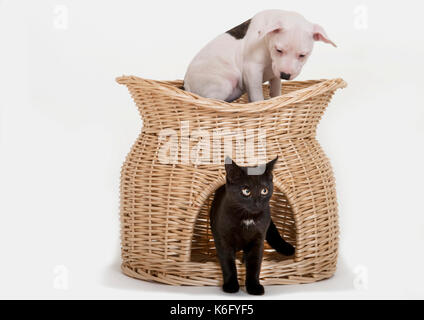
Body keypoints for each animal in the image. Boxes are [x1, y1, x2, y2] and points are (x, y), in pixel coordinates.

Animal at [184, 9, 336, 102]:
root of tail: (186, 84)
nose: (285, 75)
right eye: (278, 50)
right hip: (225, 82)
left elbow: (276, 89)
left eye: (302, 55)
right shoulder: (252, 70)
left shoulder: (275, 74)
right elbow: (257, 95)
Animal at [210, 156, 294, 294]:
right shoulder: (223, 239)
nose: (257, 202)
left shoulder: (258, 240)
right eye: (246, 191)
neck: (247, 218)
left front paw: (254, 286)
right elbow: (228, 263)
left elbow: (255, 264)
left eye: (264, 190)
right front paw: (231, 285)